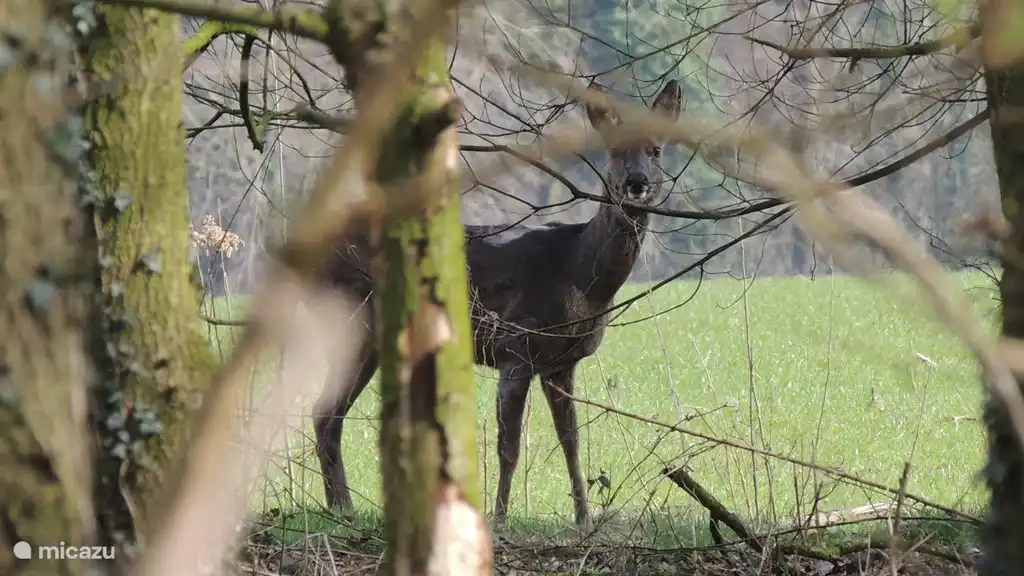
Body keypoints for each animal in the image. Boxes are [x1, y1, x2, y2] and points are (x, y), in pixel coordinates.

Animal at [312, 78, 681, 530]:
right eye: (612, 151)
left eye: (656, 150)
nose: (636, 181)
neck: (580, 274)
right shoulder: (515, 346)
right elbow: (509, 446)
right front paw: (500, 518)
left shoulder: (561, 363)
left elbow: (571, 441)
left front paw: (584, 519)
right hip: (355, 323)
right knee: (325, 413)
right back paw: (343, 509)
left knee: (328, 415)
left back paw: (341, 509)